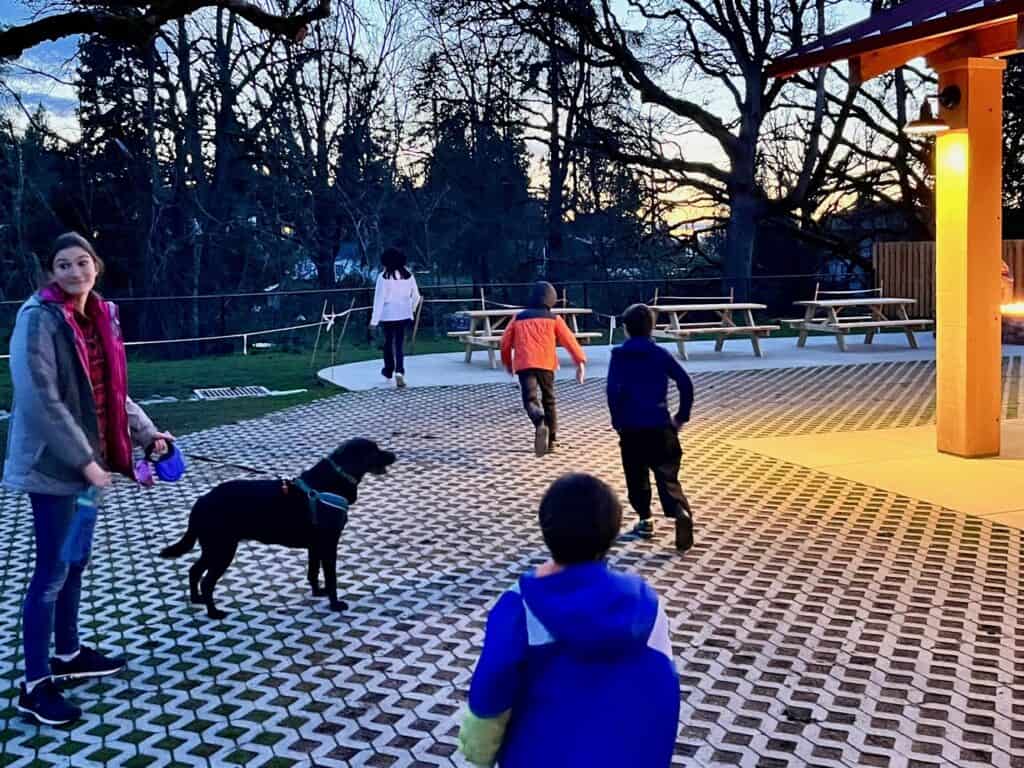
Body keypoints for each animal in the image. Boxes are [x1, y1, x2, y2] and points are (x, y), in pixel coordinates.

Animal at [160, 438, 395, 618]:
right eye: (374, 450)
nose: (394, 455)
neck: (331, 481)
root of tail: (200, 501)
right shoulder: (329, 543)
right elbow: (331, 577)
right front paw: (334, 603)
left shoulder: (315, 545)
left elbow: (313, 570)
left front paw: (318, 591)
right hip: (222, 549)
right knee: (207, 581)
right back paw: (213, 612)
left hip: (212, 548)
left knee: (194, 570)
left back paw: (197, 599)